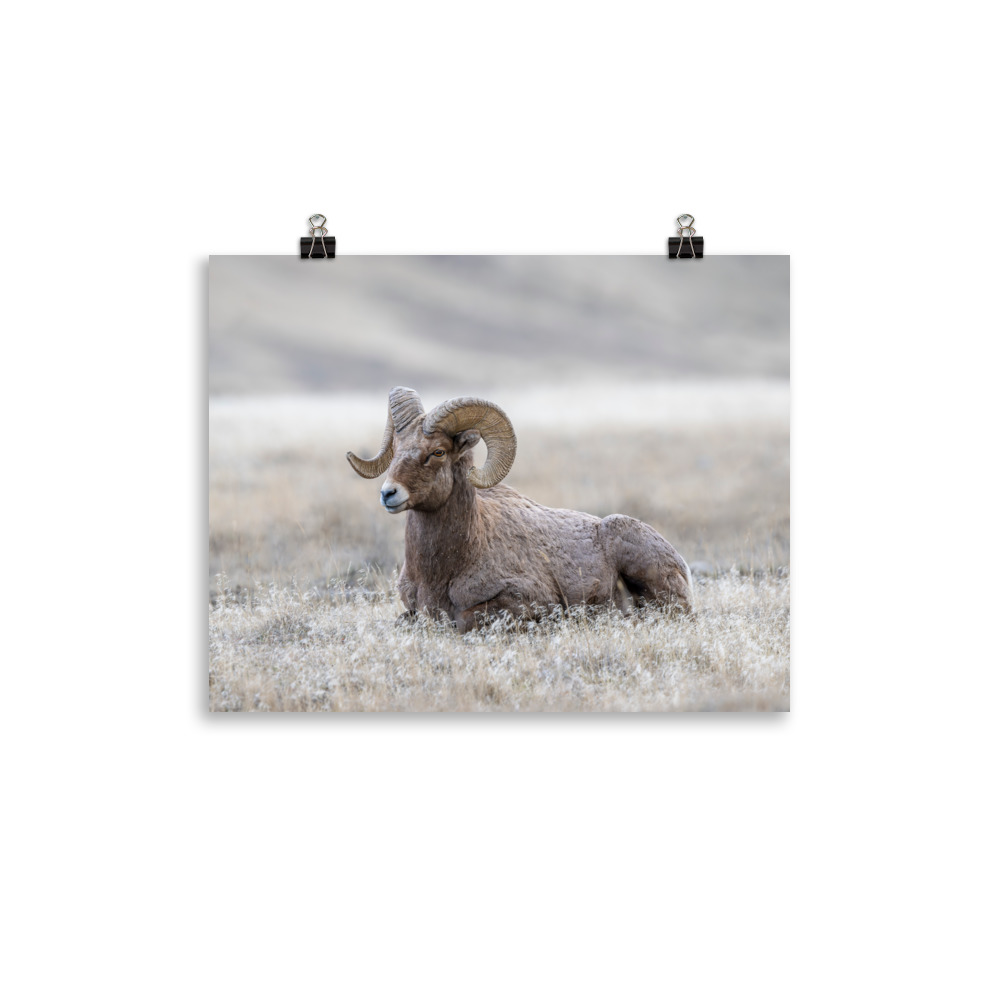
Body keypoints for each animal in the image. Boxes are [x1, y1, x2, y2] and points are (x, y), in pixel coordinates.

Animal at [347, 387, 692, 632]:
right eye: (396, 450)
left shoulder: (524, 602)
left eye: (438, 452)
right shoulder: (412, 610)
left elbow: (466, 620)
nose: (388, 493)